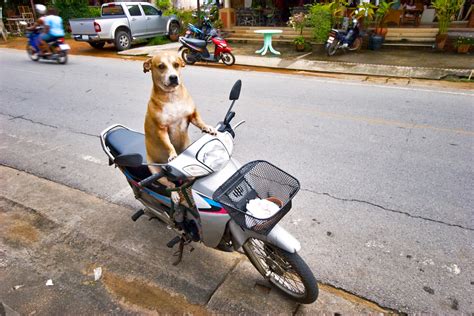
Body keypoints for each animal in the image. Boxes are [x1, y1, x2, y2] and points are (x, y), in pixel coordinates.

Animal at [141, 51, 215, 202]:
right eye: (161, 66)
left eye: (176, 65)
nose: (173, 77)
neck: (172, 97)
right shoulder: (161, 129)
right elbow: (168, 144)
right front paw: (172, 155)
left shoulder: (192, 115)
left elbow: (200, 121)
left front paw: (207, 128)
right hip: (156, 171)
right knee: (170, 184)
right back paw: (174, 194)